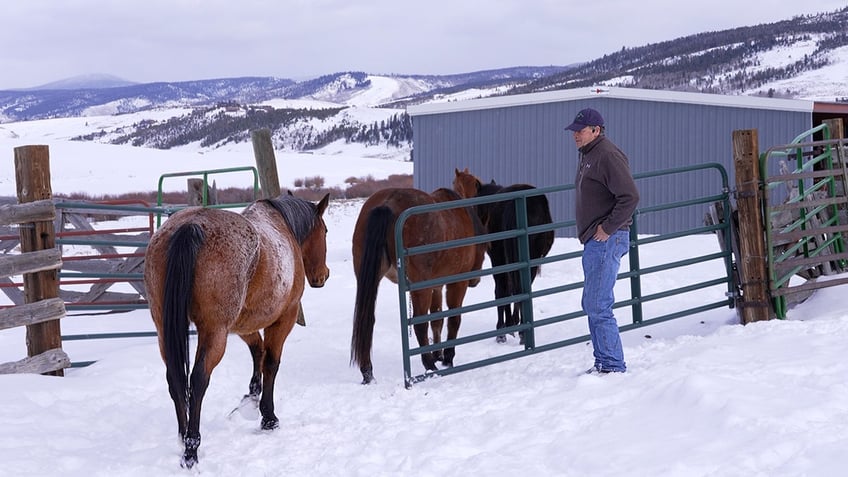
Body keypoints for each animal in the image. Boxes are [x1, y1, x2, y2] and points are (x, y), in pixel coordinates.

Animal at [144, 192, 330, 466]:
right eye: (325, 231)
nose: (322, 275)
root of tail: (191, 225)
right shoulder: (284, 317)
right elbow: (270, 362)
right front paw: (268, 416)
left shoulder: (242, 325)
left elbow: (258, 352)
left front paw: (251, 398)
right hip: (214, 332)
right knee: (198, 380)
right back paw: (191, 448)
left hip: (164, 331)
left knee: (175, 379)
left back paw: (182, 436)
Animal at [350, 186, 484, 384]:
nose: (475, 281)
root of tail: (388, 202)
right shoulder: (456, 283)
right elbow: (453, 319)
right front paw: (447, 357)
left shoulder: (436, 286)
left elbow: (437, 319)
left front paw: (438, 353)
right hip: (420, 287)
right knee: (419, 325)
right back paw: (430, 366)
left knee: (367, 320)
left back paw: (368, 372)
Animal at [450, 167, 556, 342]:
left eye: (455, 185)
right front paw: (511, 323)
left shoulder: (497, 258)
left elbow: (501, 290)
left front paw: (503, 327)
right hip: (532, 258)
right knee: (523, 286)